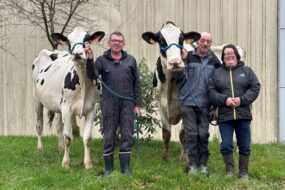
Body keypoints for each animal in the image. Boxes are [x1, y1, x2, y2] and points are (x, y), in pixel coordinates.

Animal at [31, 27, 104, 168]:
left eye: (87, 39)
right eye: (69, 41)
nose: (77, 54)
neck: (82, 82)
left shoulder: (91, 109)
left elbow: (87, 138)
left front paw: (88, 163)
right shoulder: (67, 108)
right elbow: (68, 138)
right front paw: (65, 163)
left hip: (59, 107)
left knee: (59, 127)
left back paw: (59, 149)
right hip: (37, 100)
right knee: (39, 125)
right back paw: (40, 149)